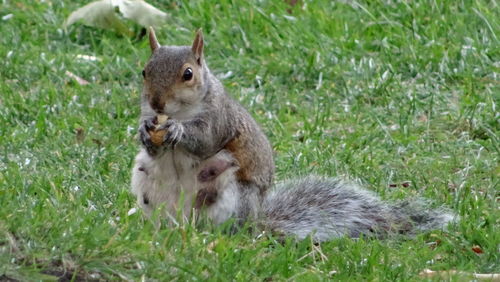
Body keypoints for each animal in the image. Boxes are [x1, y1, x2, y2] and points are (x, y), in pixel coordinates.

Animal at [130, 28, 458, 240]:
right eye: (144, 71)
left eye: (188, 74)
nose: (157, 103)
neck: (180, 112)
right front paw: (146, 133)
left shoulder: (220, 118)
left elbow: (205, 139)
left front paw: (177, 130)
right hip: (149, 188)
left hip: (229, 195)